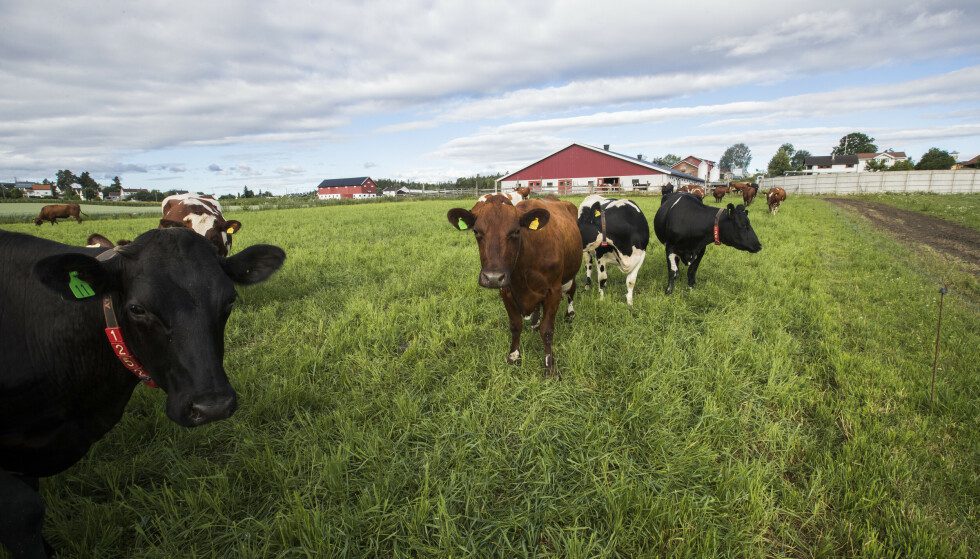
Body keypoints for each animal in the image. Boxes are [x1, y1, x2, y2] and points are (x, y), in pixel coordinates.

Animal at [446, 196, 580, 376]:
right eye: (476, 232)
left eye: (516, 231)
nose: (493, 278)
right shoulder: (506, 290)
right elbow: (516, 325)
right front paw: (513, 356)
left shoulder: (554, 290)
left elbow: (547, 330)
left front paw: (549, 366)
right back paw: (535, 322)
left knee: (572, 290)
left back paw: (569, 314)